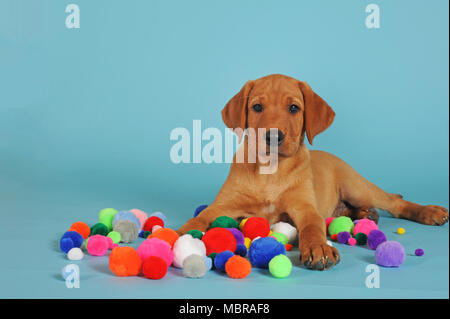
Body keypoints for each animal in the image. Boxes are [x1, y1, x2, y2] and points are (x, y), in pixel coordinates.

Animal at [178, 74, 448, 270]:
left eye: (293, 108)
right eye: (256, 107)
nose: (273, 136)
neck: (270, 170)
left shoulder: (305, 208)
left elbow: (312, 226)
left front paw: (319, 248)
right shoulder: (223, 205)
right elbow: (199, 218)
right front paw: (179, 234)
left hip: (357, 187)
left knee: (394, 201)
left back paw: (429, 212)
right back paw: (366, 214)